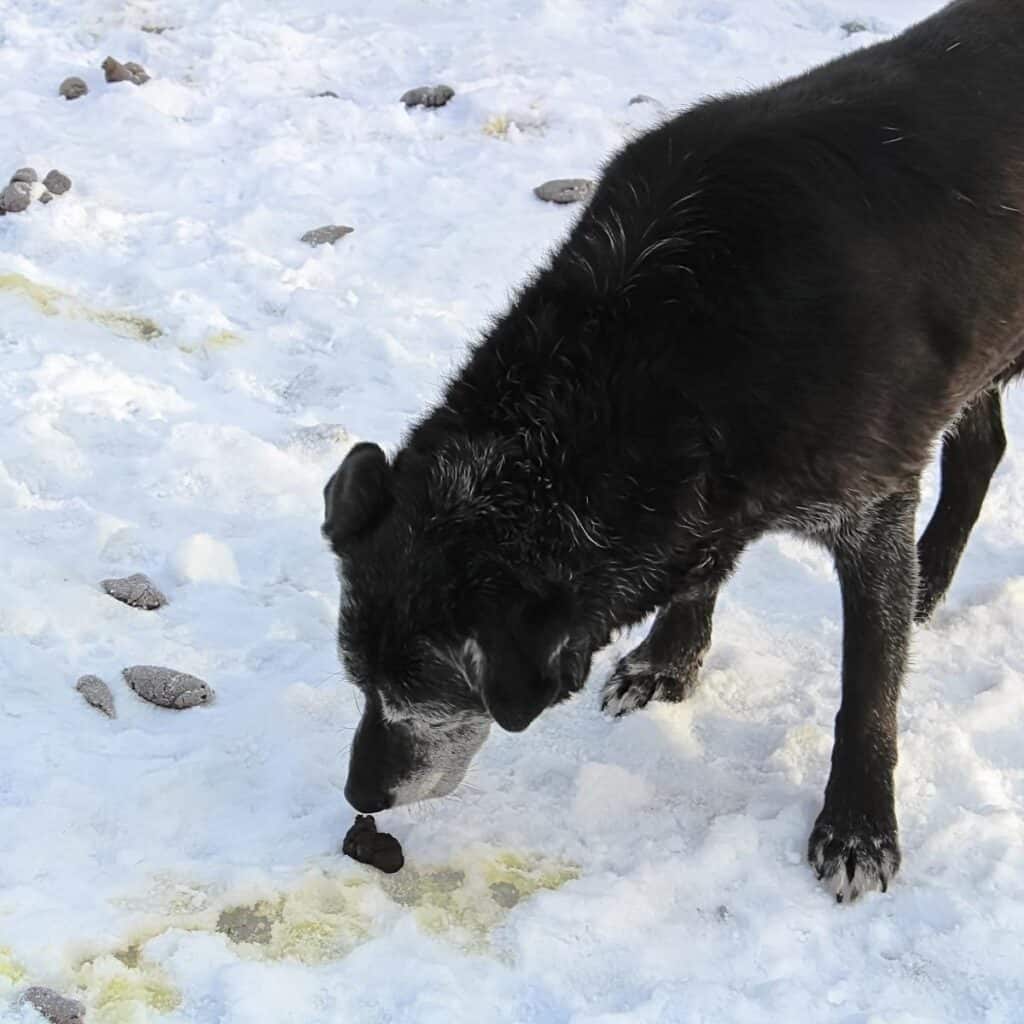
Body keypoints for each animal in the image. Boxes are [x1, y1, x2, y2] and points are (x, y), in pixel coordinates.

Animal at [319, 0, 1024, 897]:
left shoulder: (872, 510)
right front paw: (667, 659)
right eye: (360, 681)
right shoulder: (714, 490)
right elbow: (702, 568)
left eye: (426, 690)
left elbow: (867, 690)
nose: (359, 792)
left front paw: (859, 826)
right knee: (983, 448)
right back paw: (929, 582)